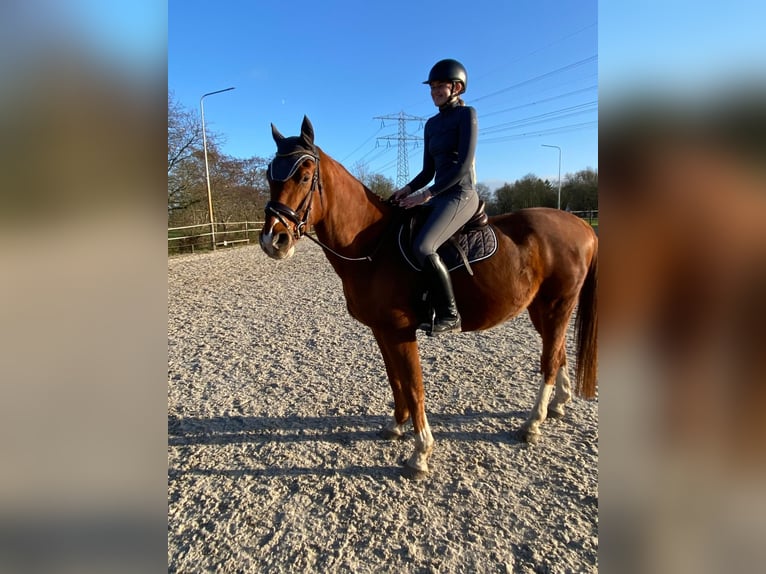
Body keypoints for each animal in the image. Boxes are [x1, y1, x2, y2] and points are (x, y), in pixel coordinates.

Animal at [259, 116, 598, 479]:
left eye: (305, 175)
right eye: (269, 175)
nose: (273, 240)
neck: (373, 245)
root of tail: (582, 225)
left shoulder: (400, 332)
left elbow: (414, 387)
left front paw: (420, 453)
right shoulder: (382, 330)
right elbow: (395, 381)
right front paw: (397, 427)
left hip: (558, 305)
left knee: (549, 360)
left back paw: (533, 423)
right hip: (540, 309)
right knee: (558, 352)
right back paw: (558, 406)